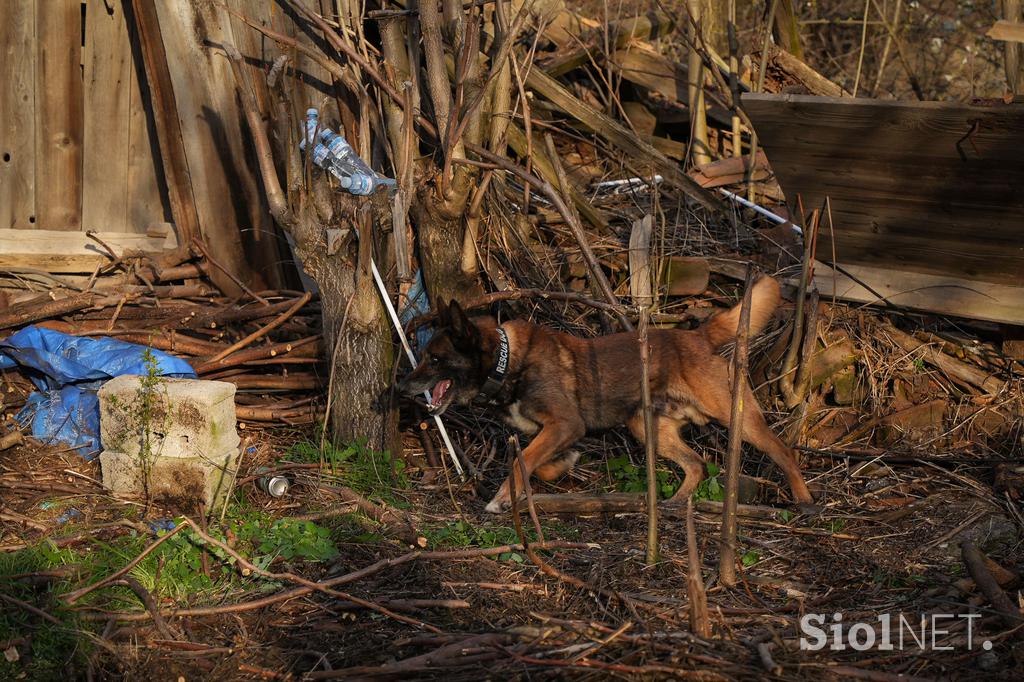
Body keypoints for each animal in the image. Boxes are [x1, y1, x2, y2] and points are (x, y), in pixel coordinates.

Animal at [399, 274, 815, 509]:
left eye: (434, 359)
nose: (402, 387)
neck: (507, 361)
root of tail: (697, 335)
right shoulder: (554, 433)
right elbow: (537, 461)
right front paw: (559, 467)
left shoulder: (566, 424)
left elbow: (520, 462)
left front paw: (501, 500)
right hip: (646, 428)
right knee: (696, 463)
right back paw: (677, 502)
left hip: (735, 415)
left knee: (782, 449)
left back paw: (804, 499)